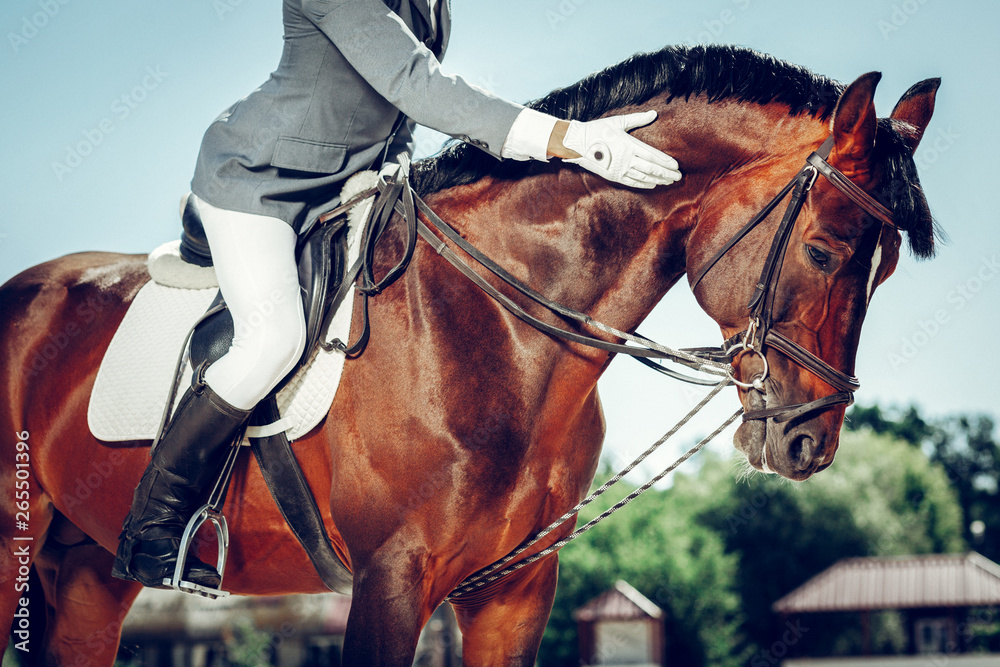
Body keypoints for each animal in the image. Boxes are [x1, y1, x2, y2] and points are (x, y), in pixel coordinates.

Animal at [0, 44, 936, 664]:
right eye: (823, 249)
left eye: (887, 268)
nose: (808, 442)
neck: (504, 333)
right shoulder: (391, 579)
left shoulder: (513, 590)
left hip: (86, 571)